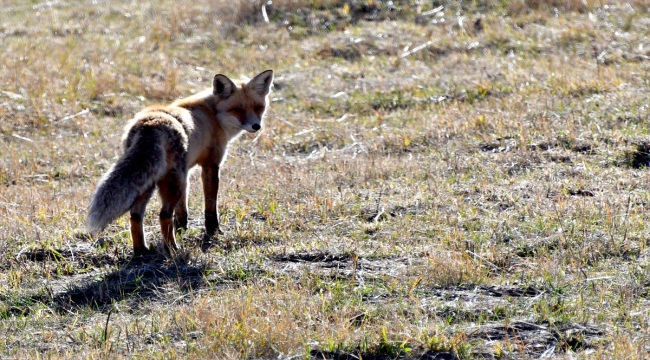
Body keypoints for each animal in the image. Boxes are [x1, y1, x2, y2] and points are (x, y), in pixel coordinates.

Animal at [85, 71, 272, 256]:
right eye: (237, 109)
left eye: (258, 107)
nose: (256, 126)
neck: (212, 115)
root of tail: (150, 123)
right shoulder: (210, 165)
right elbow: (211, 205)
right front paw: (213, 231)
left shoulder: (186, 172)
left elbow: (182, 208)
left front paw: (182, 228)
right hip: (171, 182)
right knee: (163, 215)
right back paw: (173, 249)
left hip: (151, 181)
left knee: (136, 216)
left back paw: (141, 252)